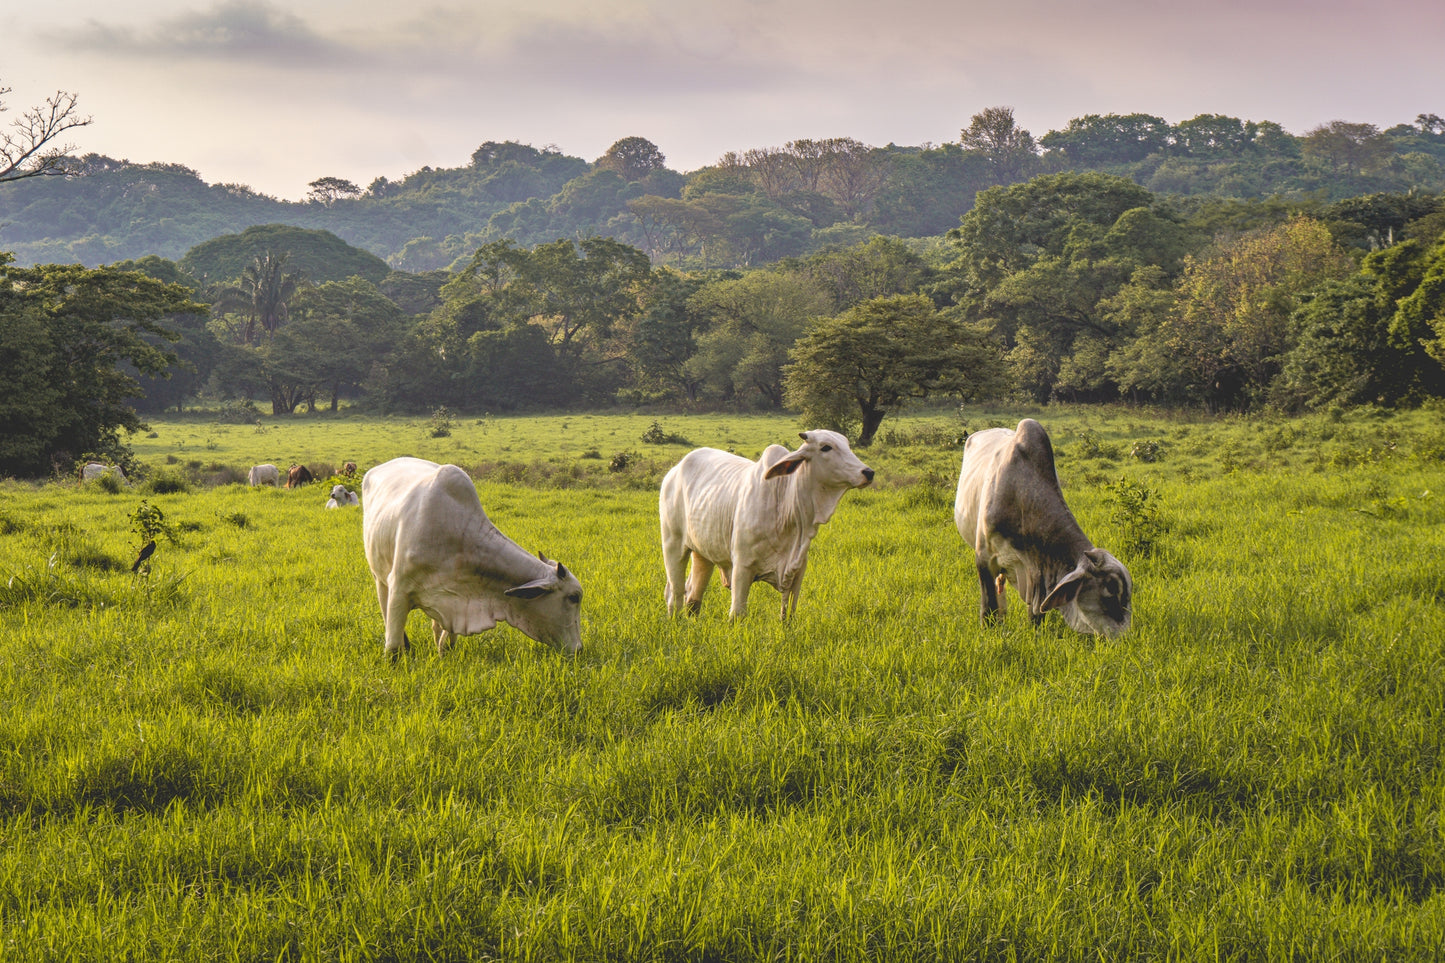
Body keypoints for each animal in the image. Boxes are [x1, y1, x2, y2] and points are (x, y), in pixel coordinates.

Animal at [362, 457, 583, 657]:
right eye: (573, 597)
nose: (579, 649)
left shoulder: (452, 605)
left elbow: (446, 641)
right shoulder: (399, 590)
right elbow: (392, 647)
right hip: (379, 578)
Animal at [660, 430, 874, 620]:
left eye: (847, 445)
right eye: (826, 447)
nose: (868, 472)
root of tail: (674, 471)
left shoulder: (798, 571)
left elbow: (788, 616)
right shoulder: (742, 567)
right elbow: (737, 614)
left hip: (703, 552)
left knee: (693, 596)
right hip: (673, 544)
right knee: (675, 593)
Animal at [954, 418, 1132, 637]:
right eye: (1111, 590)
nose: (1127, 638)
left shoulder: (1037, 575)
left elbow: (1035, 613)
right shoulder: (984, 558)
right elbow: (989, 606)